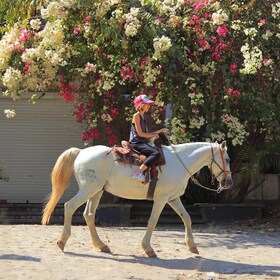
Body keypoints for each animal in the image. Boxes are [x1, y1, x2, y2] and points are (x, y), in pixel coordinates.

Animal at [41, 141, 233, 258]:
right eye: (228, 158)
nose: (229, 182)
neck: (180, 162)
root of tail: (81, 152)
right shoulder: (162, 199)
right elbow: (152, 222)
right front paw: (148, 249)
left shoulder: (173, 198)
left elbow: (187, 218)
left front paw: (192, 246)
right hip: (89, 189)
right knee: (69, 206)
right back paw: (62, 241)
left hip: (96, 191)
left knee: (88, 214)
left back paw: (102, 245)